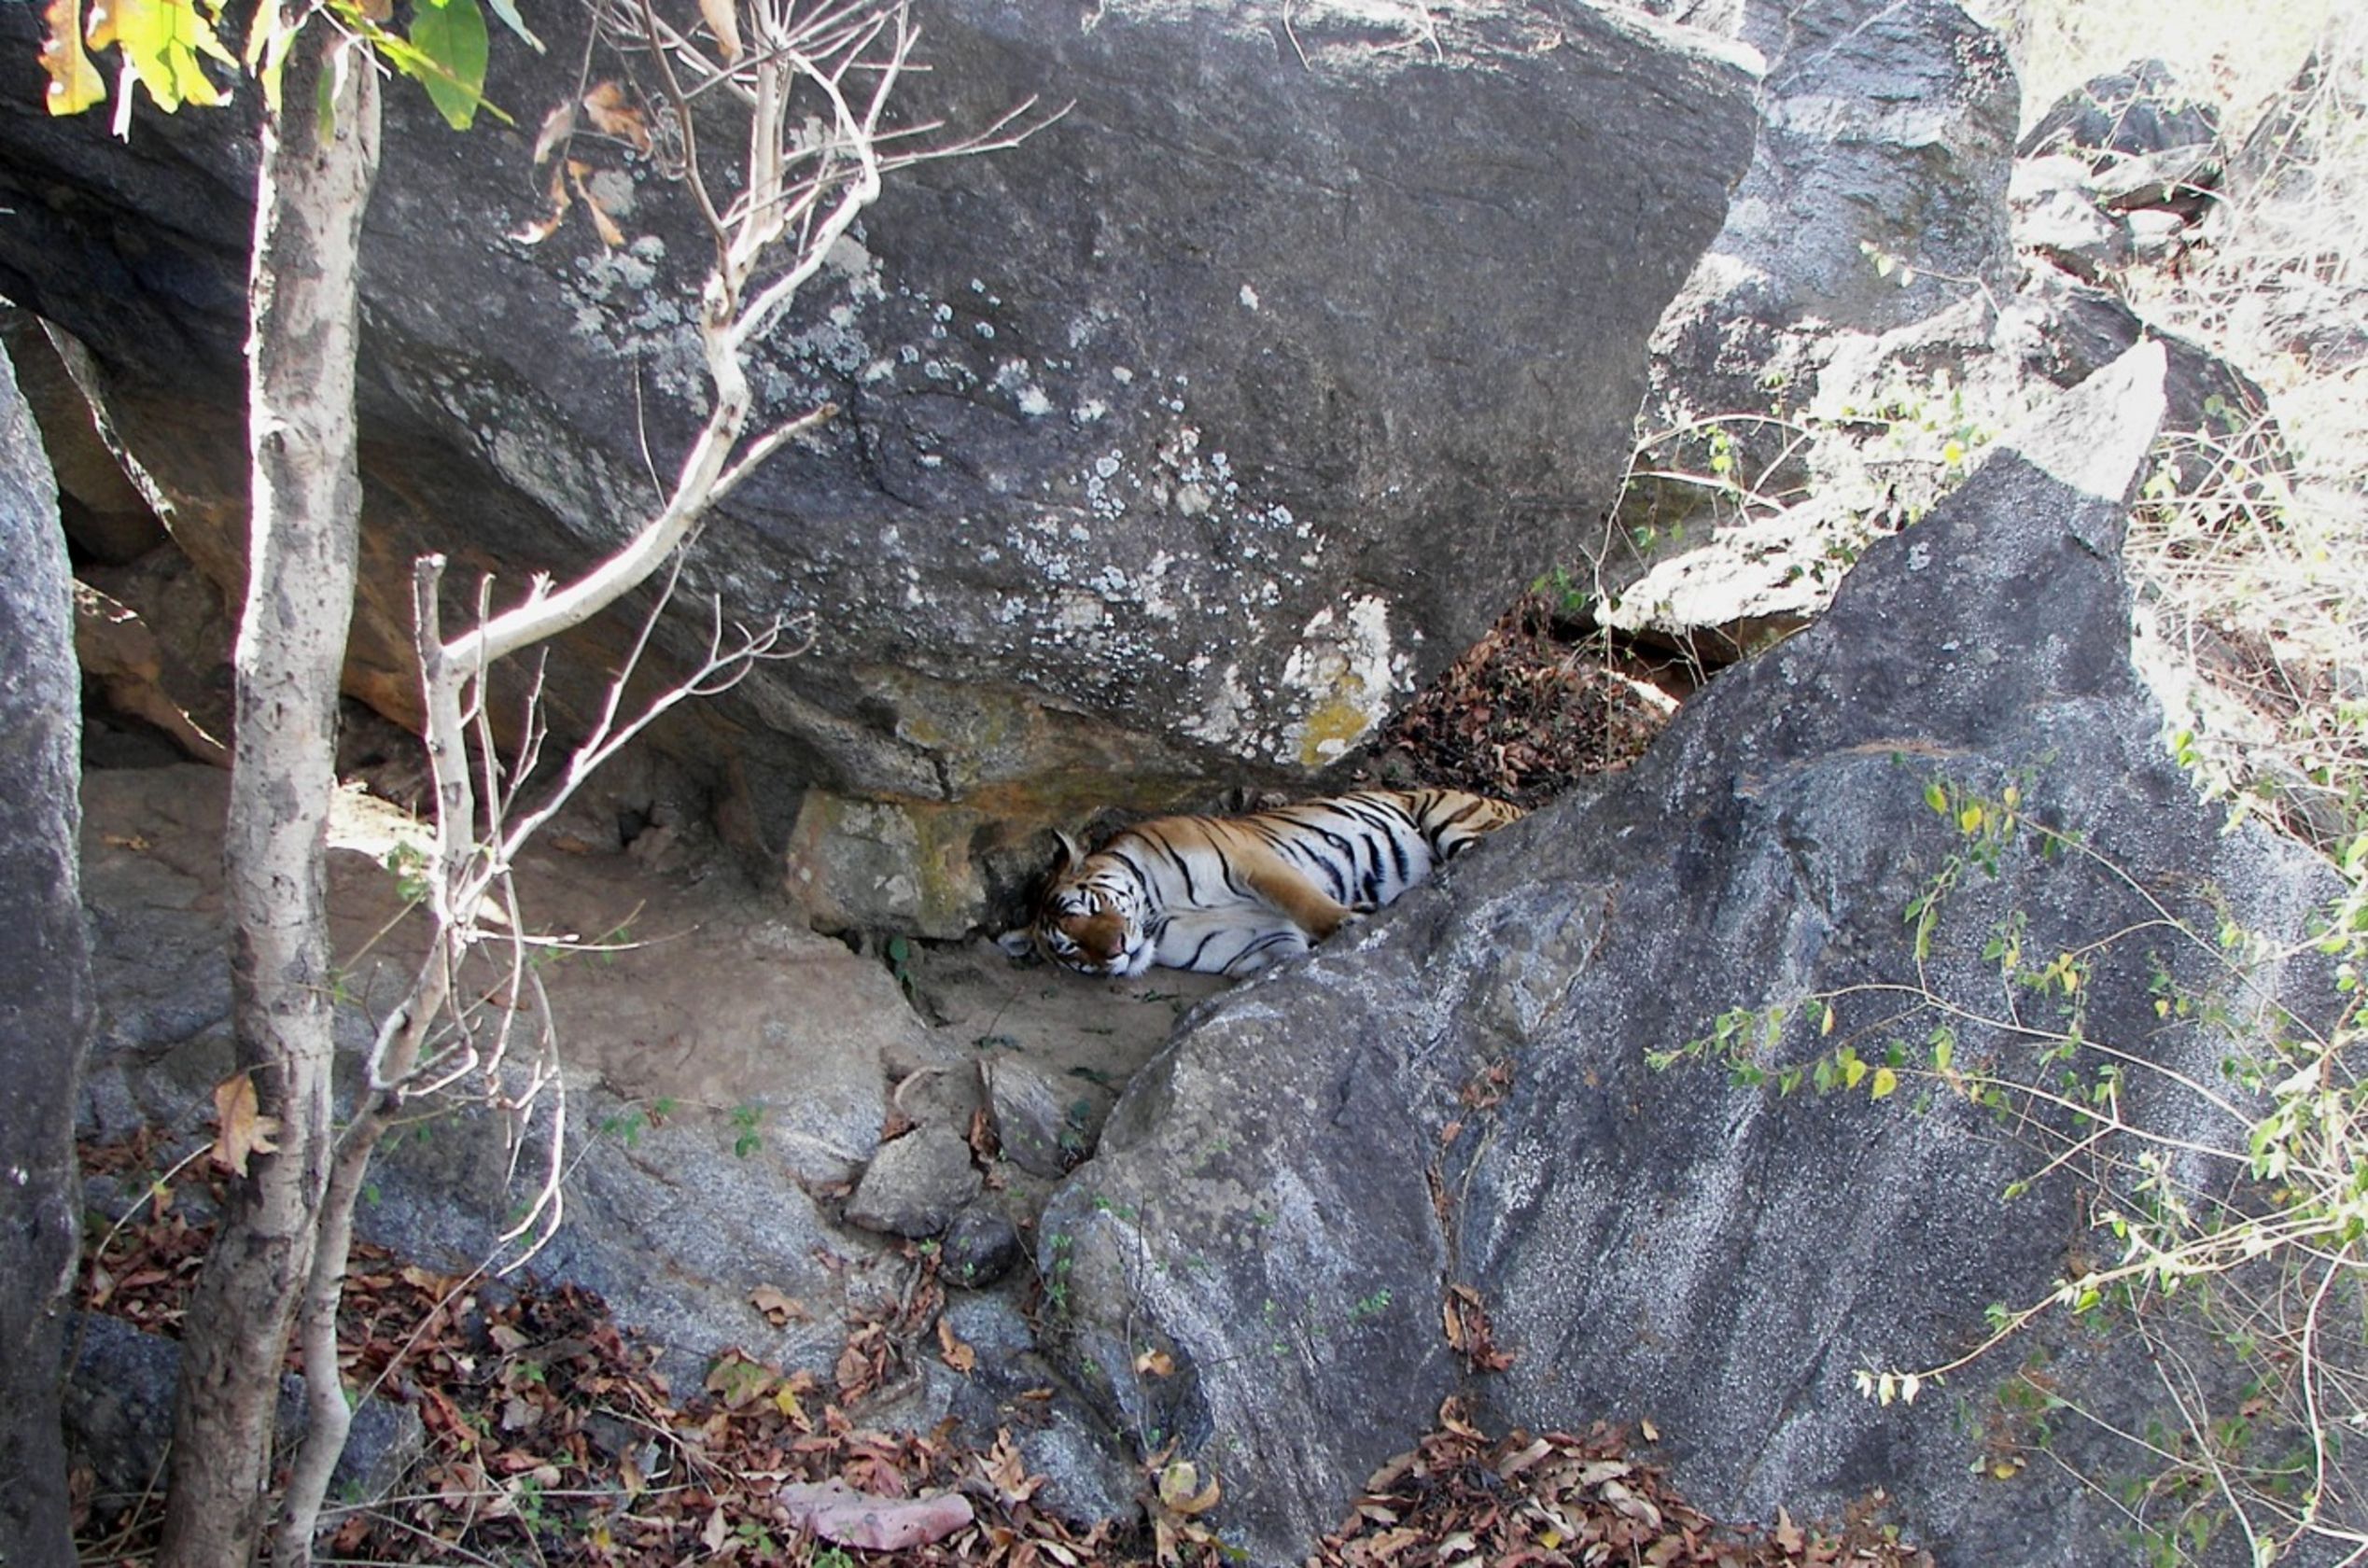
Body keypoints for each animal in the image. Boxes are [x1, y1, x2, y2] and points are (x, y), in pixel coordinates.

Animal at [1002, 788, 1524, 979]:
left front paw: (1346, 923)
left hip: (1451, 818)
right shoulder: (1259, 946)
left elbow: (1304, 900)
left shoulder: (1249, 860)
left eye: (1091, 907)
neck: (1158, 915)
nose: (1116, 950)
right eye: (1072, 948)